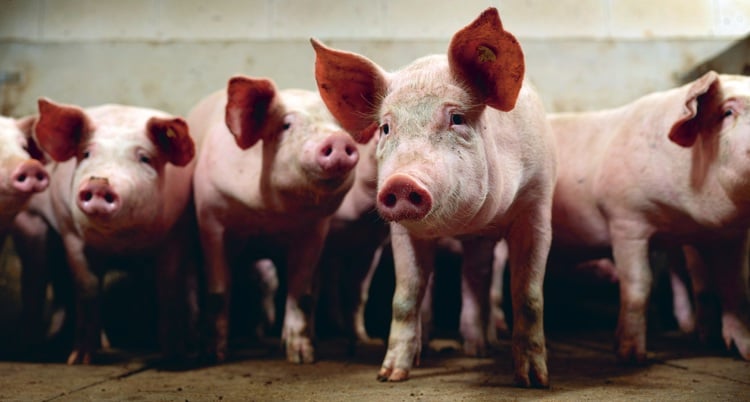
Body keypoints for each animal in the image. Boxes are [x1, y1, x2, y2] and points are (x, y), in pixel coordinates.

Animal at [32, 98, 200, 364]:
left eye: (144, 158)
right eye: (86, 154)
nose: (99, 183)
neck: (121, 245)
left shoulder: (177, 230)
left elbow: (168, 286)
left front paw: (174, 356)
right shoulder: (71, 234)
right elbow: (87, 289)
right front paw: (79, 361)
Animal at [191, 74, 362, 364]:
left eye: (340, 125)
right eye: (286, 125)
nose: (338, 140)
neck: (269, 215)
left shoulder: (314, 229)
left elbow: (301, 293)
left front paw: (303, 357)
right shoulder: (210, 217)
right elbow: (218, 291)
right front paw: (213, 355)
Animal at [312, 7, 560, 390]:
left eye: (456, 117)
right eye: (385, 128)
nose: (401, 182)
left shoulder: (536, 206)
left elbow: (528, 294)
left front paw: (533, 381)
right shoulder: (402, 231)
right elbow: (405, 295)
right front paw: (390, 376)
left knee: (477, 281)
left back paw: (479, 349)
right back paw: (430, 349)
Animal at [548, 70, 750, 362]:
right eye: (728, 112)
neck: (686, 217)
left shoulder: (730, 233)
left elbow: (735, 288)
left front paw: (744, 352)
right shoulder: (625, 218)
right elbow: (639, 285)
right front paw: (632, 356)